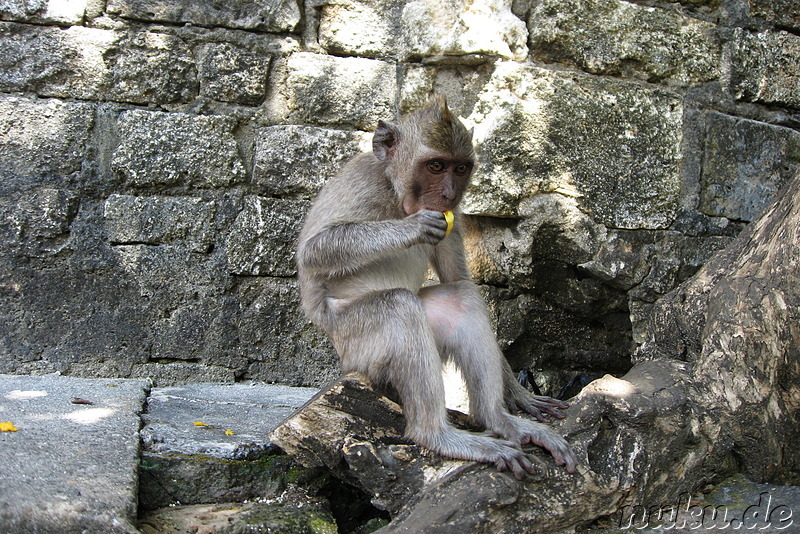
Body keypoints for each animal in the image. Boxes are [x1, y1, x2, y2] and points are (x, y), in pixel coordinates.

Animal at [296, 94, 580, 480]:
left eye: (459, 169)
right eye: (434, 166)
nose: (447, 194)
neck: (397, 192)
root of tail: (343, 362)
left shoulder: (455, 217)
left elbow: (456, 278)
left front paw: (519, 395)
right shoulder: (364, 183)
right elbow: (313, 251)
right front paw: (412, 229)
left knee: (462, 299)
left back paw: (500, 421)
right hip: (356, 346)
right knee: (400, 307)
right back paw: (437, 436)